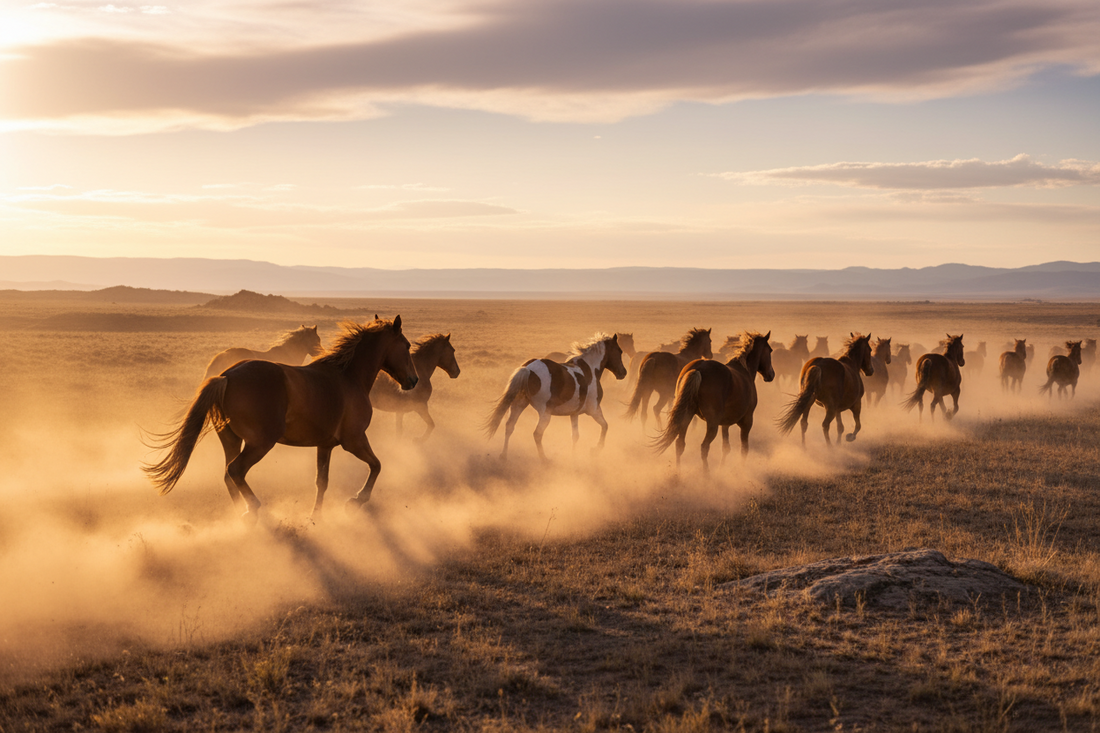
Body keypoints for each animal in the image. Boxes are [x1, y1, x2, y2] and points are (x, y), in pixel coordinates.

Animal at [144, 317, 418, 522]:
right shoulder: (354, 440)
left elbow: (322, 482)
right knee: (236, 470)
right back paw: (252, 510)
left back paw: (239, 514)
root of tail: (227, 376)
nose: (413, 380)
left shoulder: (325, 445)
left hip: (231, 440)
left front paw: (316, 516)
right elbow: (377, 465)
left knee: (228, 475)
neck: (349, 376)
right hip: (260, 443)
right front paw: (355, 501)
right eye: (406, 345)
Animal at [485, 333, 628, 461]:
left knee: (509, 426)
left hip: (518, 404)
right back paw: (544, 460)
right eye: (619, 351)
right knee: (537, 434)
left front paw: (574, 456)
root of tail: (528, 369)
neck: (590, 369)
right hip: (545, 413)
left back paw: (503, 455)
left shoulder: (574, 413)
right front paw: (595, 450)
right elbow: (605, 426)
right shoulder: (594, 410)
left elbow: (575, 436)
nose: (623, 373)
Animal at [652, 332, 774, 468]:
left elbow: (726, 448)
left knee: (680, 444)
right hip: (712, 423)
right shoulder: (747, 421)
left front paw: (722, 468)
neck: (744, 371)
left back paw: (678, 471)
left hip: (686, 416)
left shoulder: (725, 423)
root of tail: (698, 369)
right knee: (704, 447)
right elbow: (744, 449)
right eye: (770, 350)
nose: (771, 374)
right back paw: (706, 473)